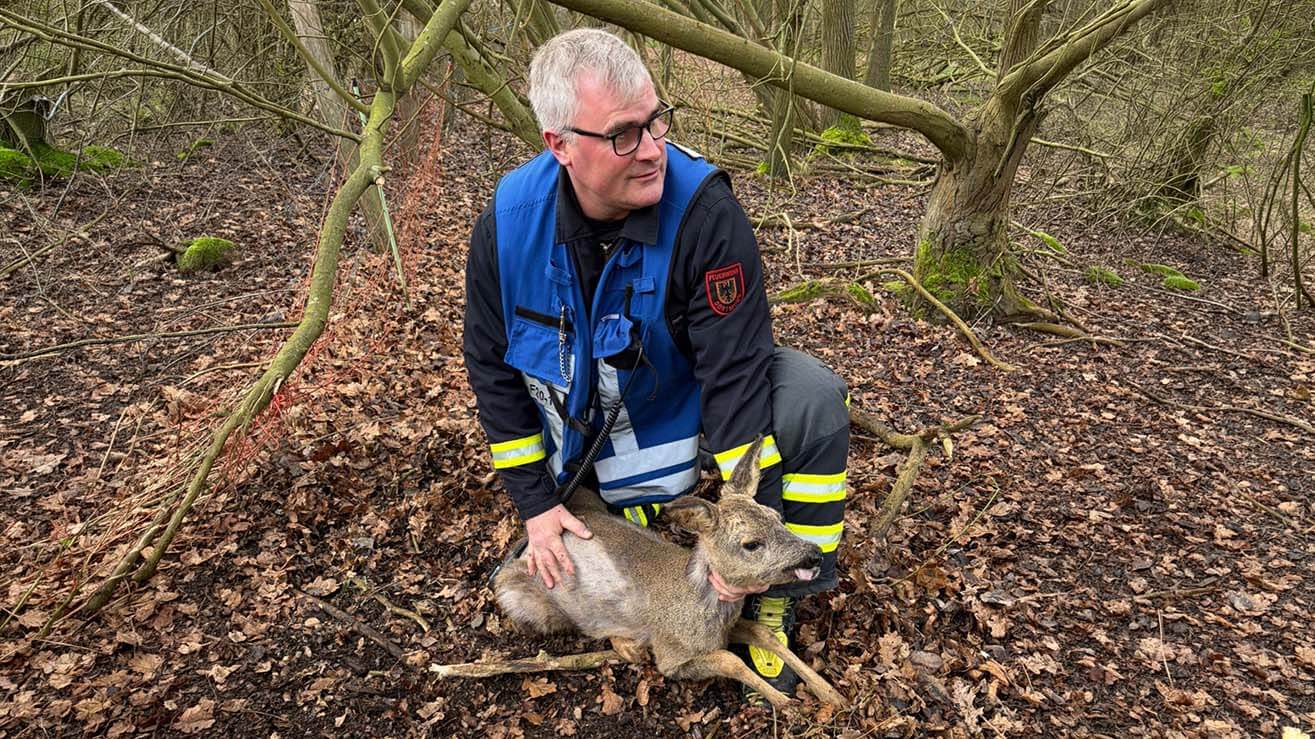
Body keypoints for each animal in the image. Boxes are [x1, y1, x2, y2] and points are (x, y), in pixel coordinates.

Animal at [492, 438, 848, 709]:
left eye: (776, 517)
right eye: (751, 544)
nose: (814, 554)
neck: (701, 601)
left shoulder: (725, 628)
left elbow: (765, 634)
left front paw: (831, 694)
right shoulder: (672, 655)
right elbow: (729, 660)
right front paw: (786, 704)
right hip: (524, 598)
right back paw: (627, 644)